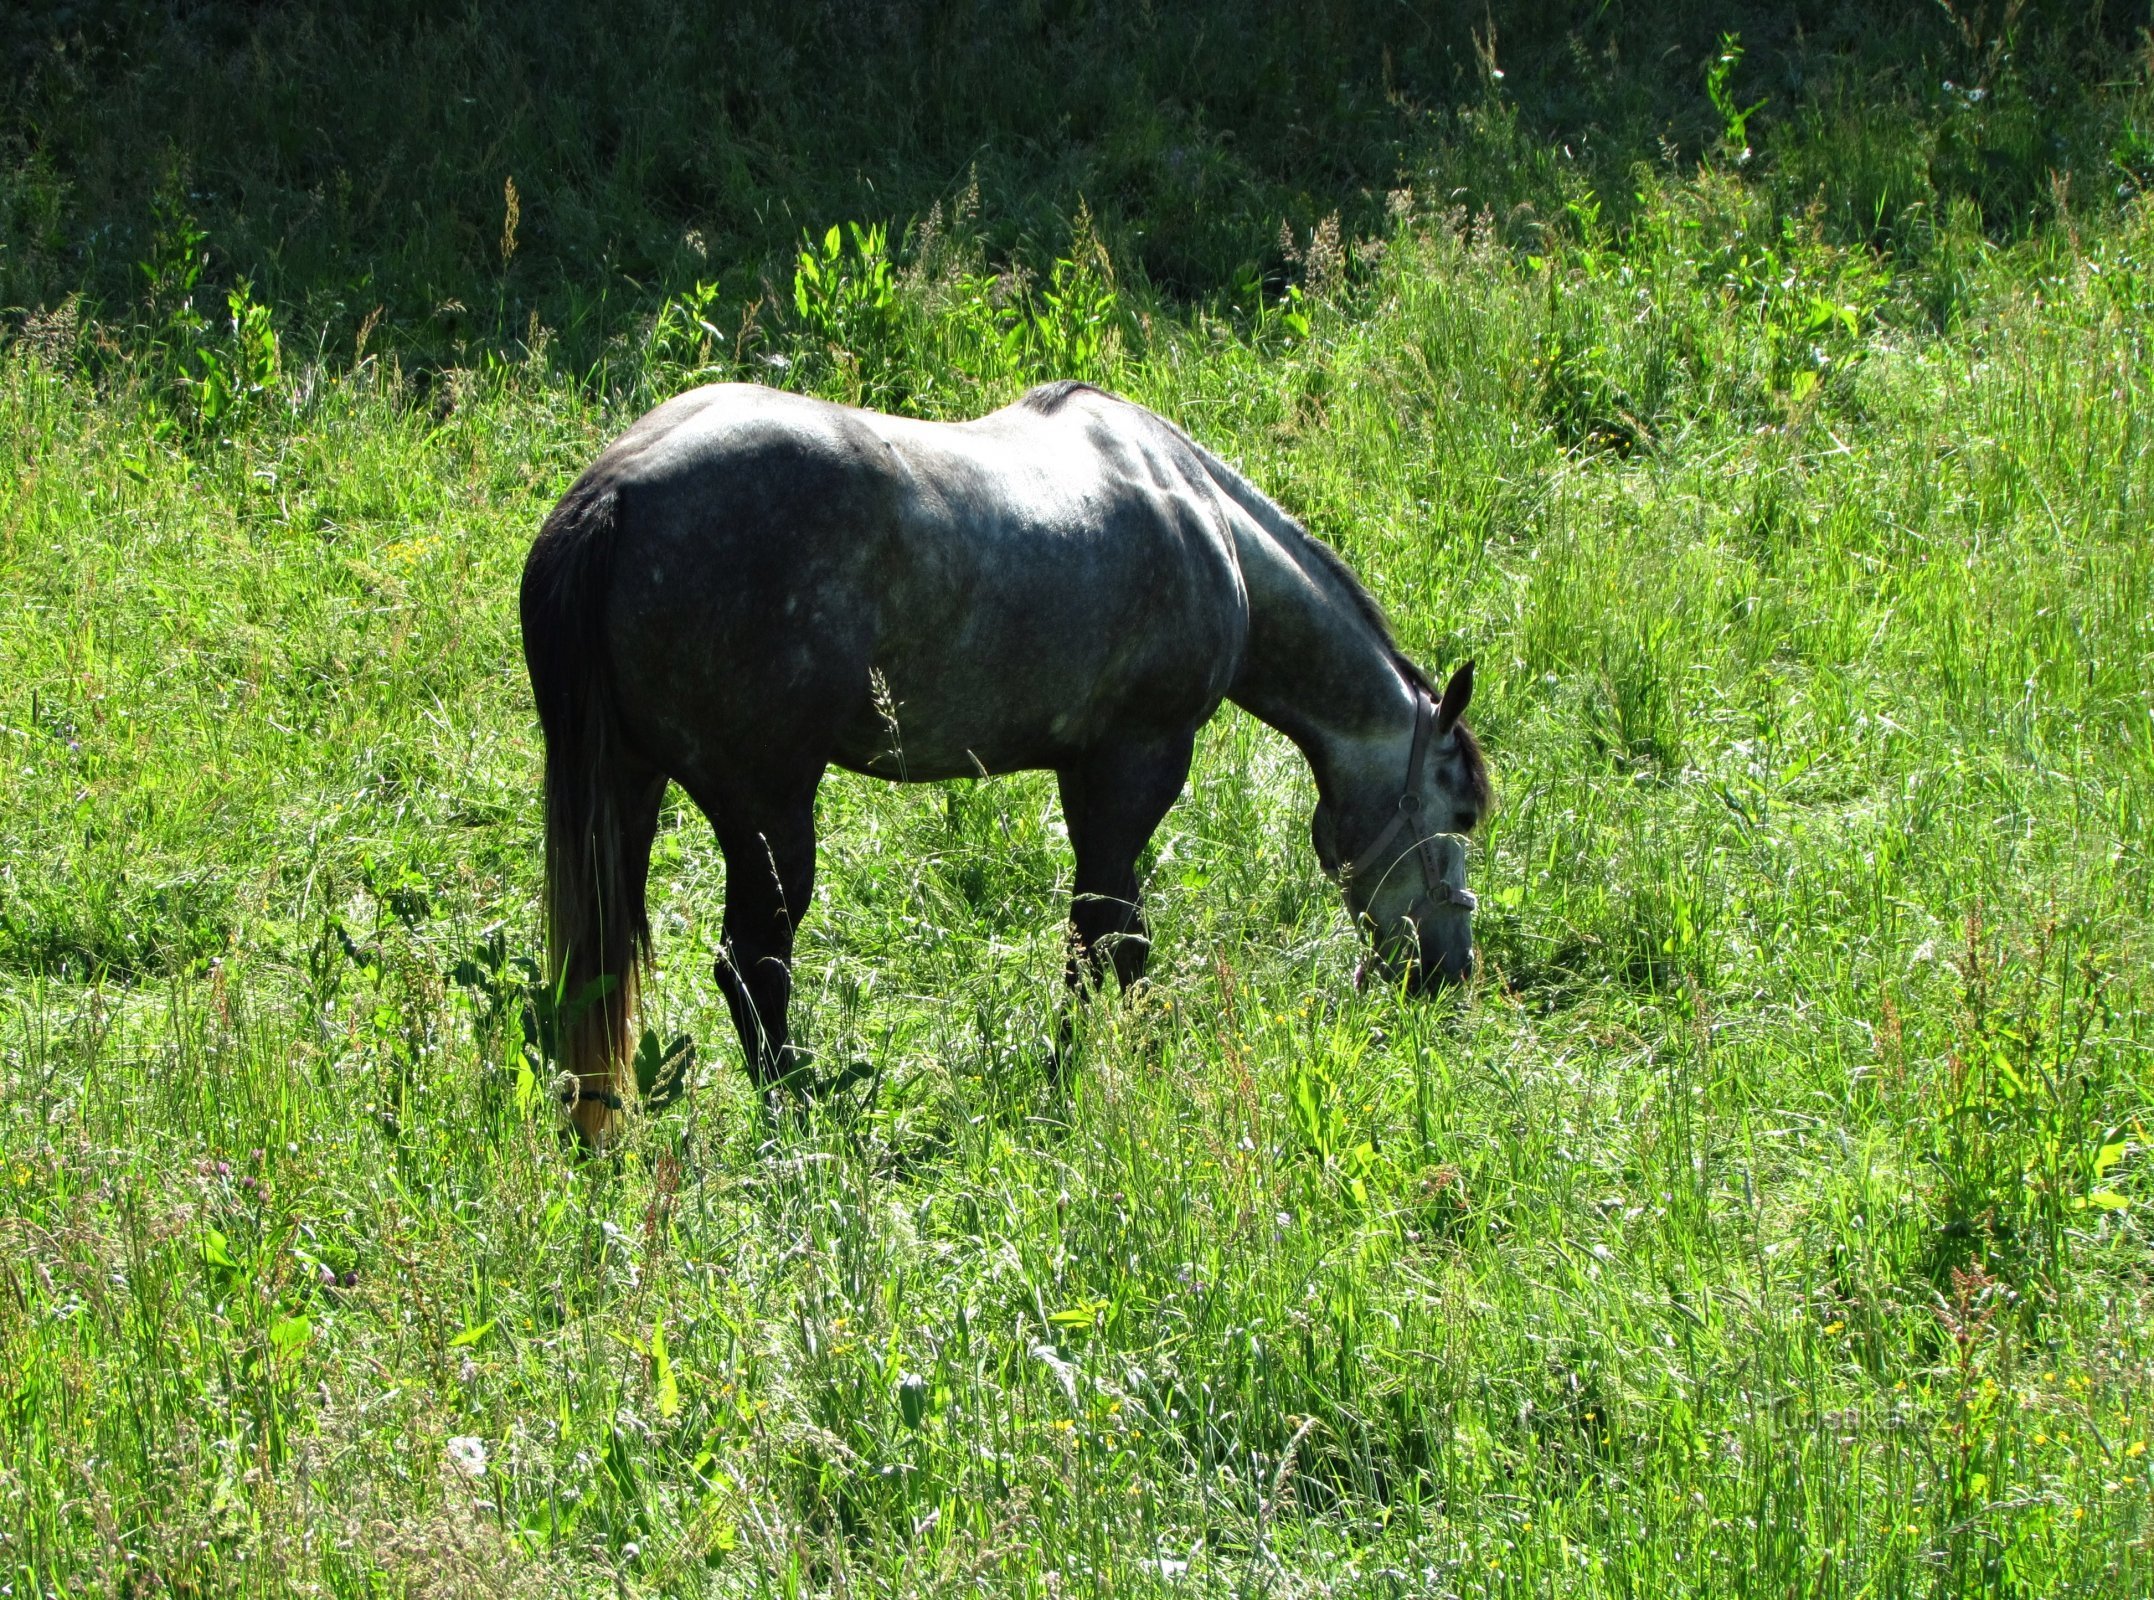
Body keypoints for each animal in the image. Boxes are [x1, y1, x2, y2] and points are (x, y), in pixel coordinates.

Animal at [529, 381, 1490, 1145]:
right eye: (1463, 814)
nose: (1448, 972)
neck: (1204, 523)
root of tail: (613, 492)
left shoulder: (1084, 771)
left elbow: (1098, 932)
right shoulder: (1137, 764)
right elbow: (1111, 935)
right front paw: (1103, 1062)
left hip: (631, 794)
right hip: (767, 814)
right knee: (753, 968)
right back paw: (799, 1110)